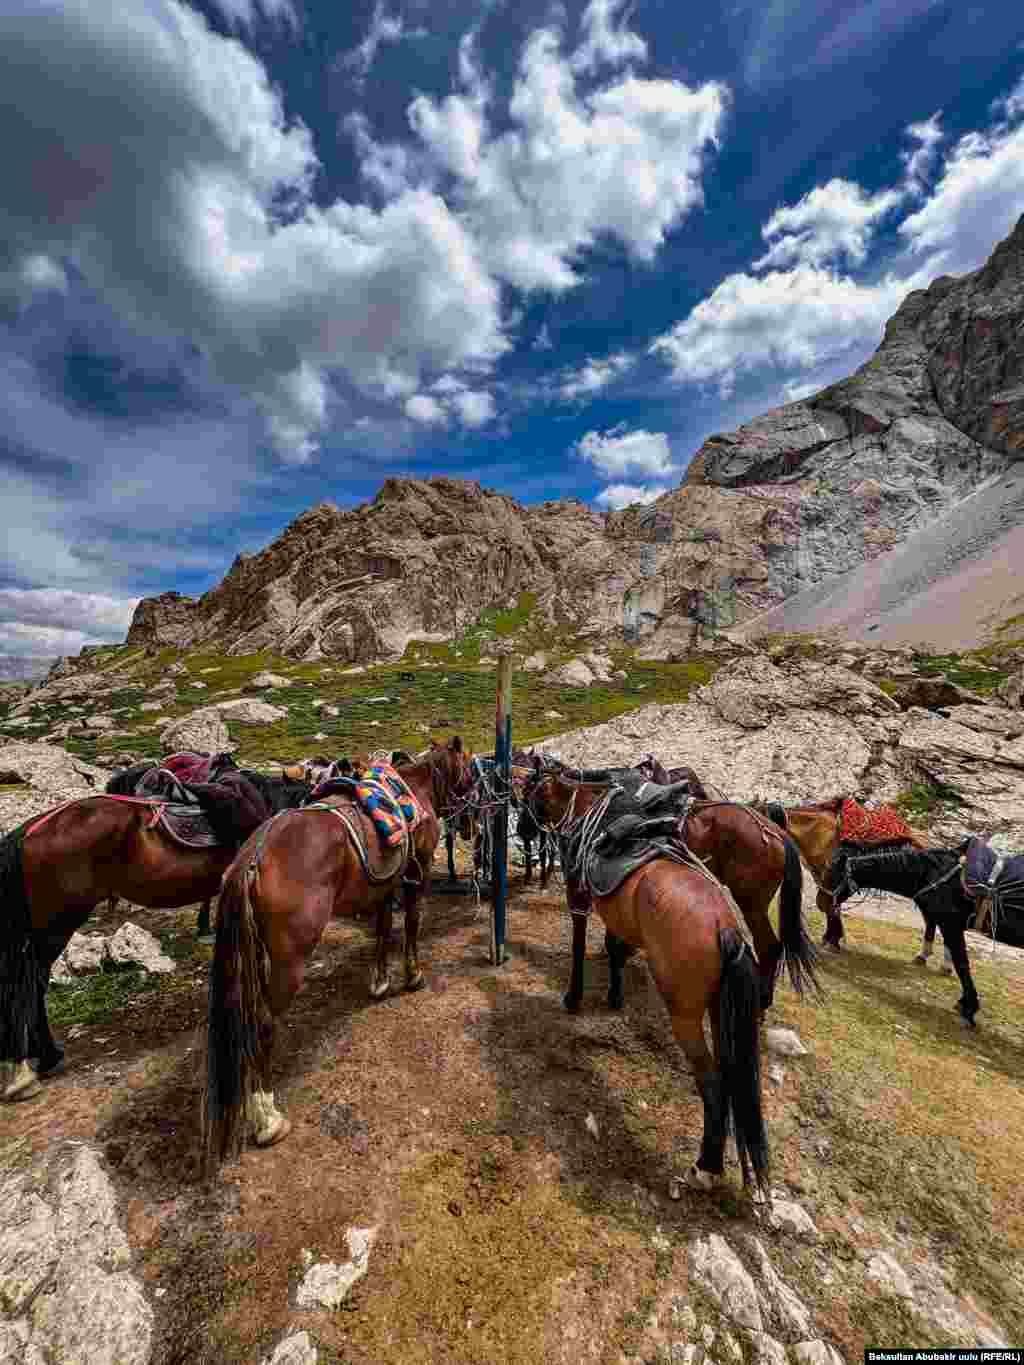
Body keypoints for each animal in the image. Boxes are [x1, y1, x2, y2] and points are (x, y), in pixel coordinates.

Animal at [203, 737, 477, 1162]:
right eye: (467, 764)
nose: (468, 821)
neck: (418, 790)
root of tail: (251, 860)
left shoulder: (384, 886)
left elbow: (382, 929)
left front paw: (379, 982)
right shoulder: (415, 876)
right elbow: (411, 925)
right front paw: (412, 975)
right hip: (289, 960)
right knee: (263, 1022)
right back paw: (268, 1118)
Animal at [524, 764, 775, 1201]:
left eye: (532, 793)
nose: (523, 830)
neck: (585, 805)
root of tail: (725, 927)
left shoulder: (579, 892)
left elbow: (579, 943)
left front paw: (574, 997)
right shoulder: (616, 913)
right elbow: (614, 947)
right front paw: (614, 994)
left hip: (686, 1016)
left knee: (713, 1083)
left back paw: (705, 1167)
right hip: (718, 1011)